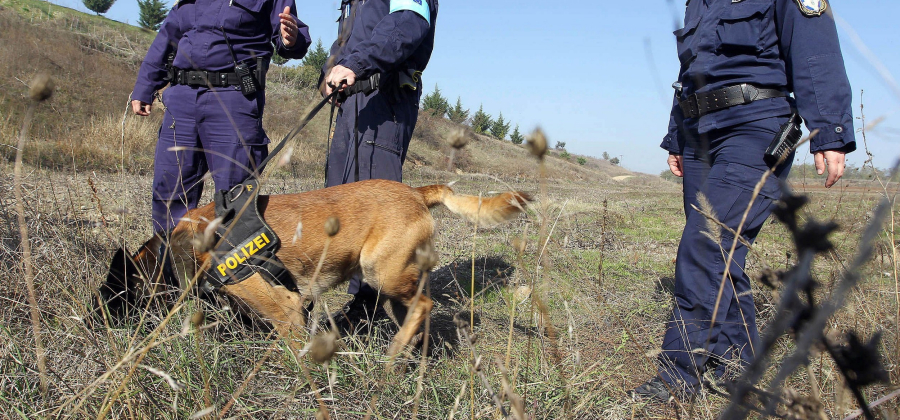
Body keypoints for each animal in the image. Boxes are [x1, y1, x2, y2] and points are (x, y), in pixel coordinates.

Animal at [100, 179, 528, 356]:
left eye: (113, 296)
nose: (96, 325)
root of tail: (417, 192)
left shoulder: (287, 311)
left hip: (381, 273)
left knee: (424, 304)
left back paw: (394, 355)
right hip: (392, 286)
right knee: (416, 311)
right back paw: (409, 355)